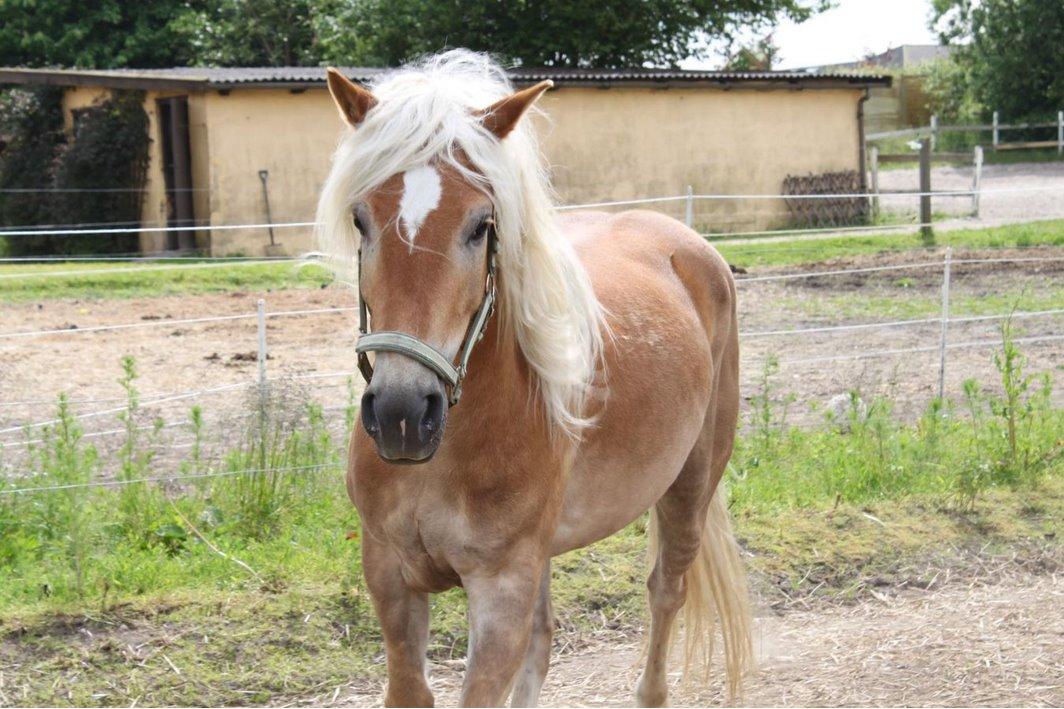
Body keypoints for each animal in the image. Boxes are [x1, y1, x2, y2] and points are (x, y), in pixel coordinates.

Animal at [312, 51, 749, 706]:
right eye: (361, 220)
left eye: (480, 225)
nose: (401, 415)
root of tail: (692, 248)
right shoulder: (390, 576)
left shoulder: (500, 590)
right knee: (545, 642)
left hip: (690, 485)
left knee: (665, 592)